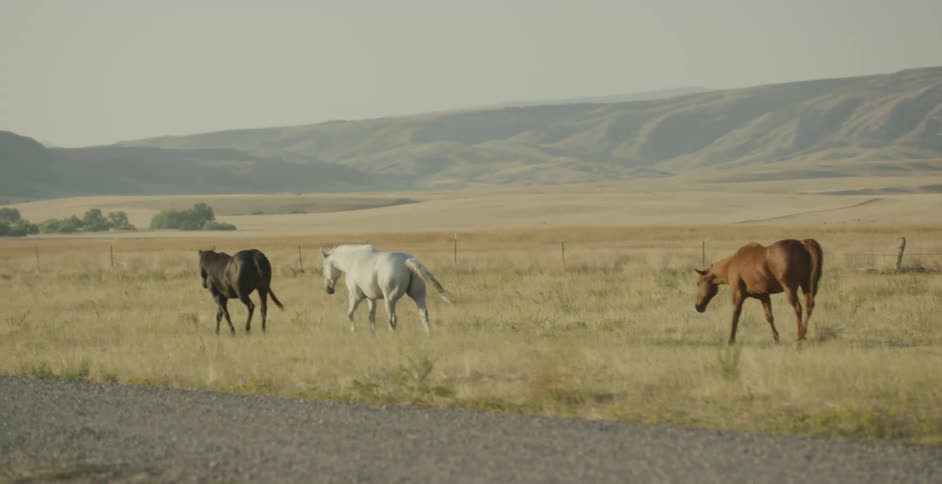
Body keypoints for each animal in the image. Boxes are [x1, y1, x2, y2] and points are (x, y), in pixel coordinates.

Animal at [320, 244, 453, 335]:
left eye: (323, 267)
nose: (328, 290)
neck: (352, 261)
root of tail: (406, 261)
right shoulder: (371, 298)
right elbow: (371, 317)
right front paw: (372, 334)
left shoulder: (355, 296)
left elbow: (350, 314)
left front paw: (354, 331)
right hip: (418, 296)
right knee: (424, 316)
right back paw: (428, 336)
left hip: (389, 300)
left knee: (392, 319)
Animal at [694, 239, 822, 345]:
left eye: (698, 283)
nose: (698, 307)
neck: (732, 264)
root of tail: (803, 244)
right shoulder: (764, 296)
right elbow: (769, 317)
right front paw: (776, 339)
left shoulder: (737, 294)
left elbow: (735, 316)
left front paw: (731, 340)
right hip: (806, 286)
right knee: (809, 306)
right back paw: (803, 334)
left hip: (790, 289)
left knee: (798, 308)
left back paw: (799, 337)